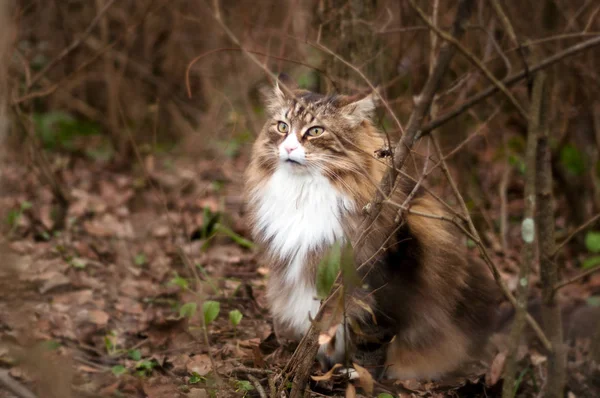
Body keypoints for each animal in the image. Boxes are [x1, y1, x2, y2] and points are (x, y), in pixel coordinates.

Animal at [243, 75, 496, 380]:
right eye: (282, 127)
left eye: (315, 131)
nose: (289, 148)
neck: (305, 193)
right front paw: (322, 368)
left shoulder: (382, 285)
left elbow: (371, 341)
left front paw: (358, 376)